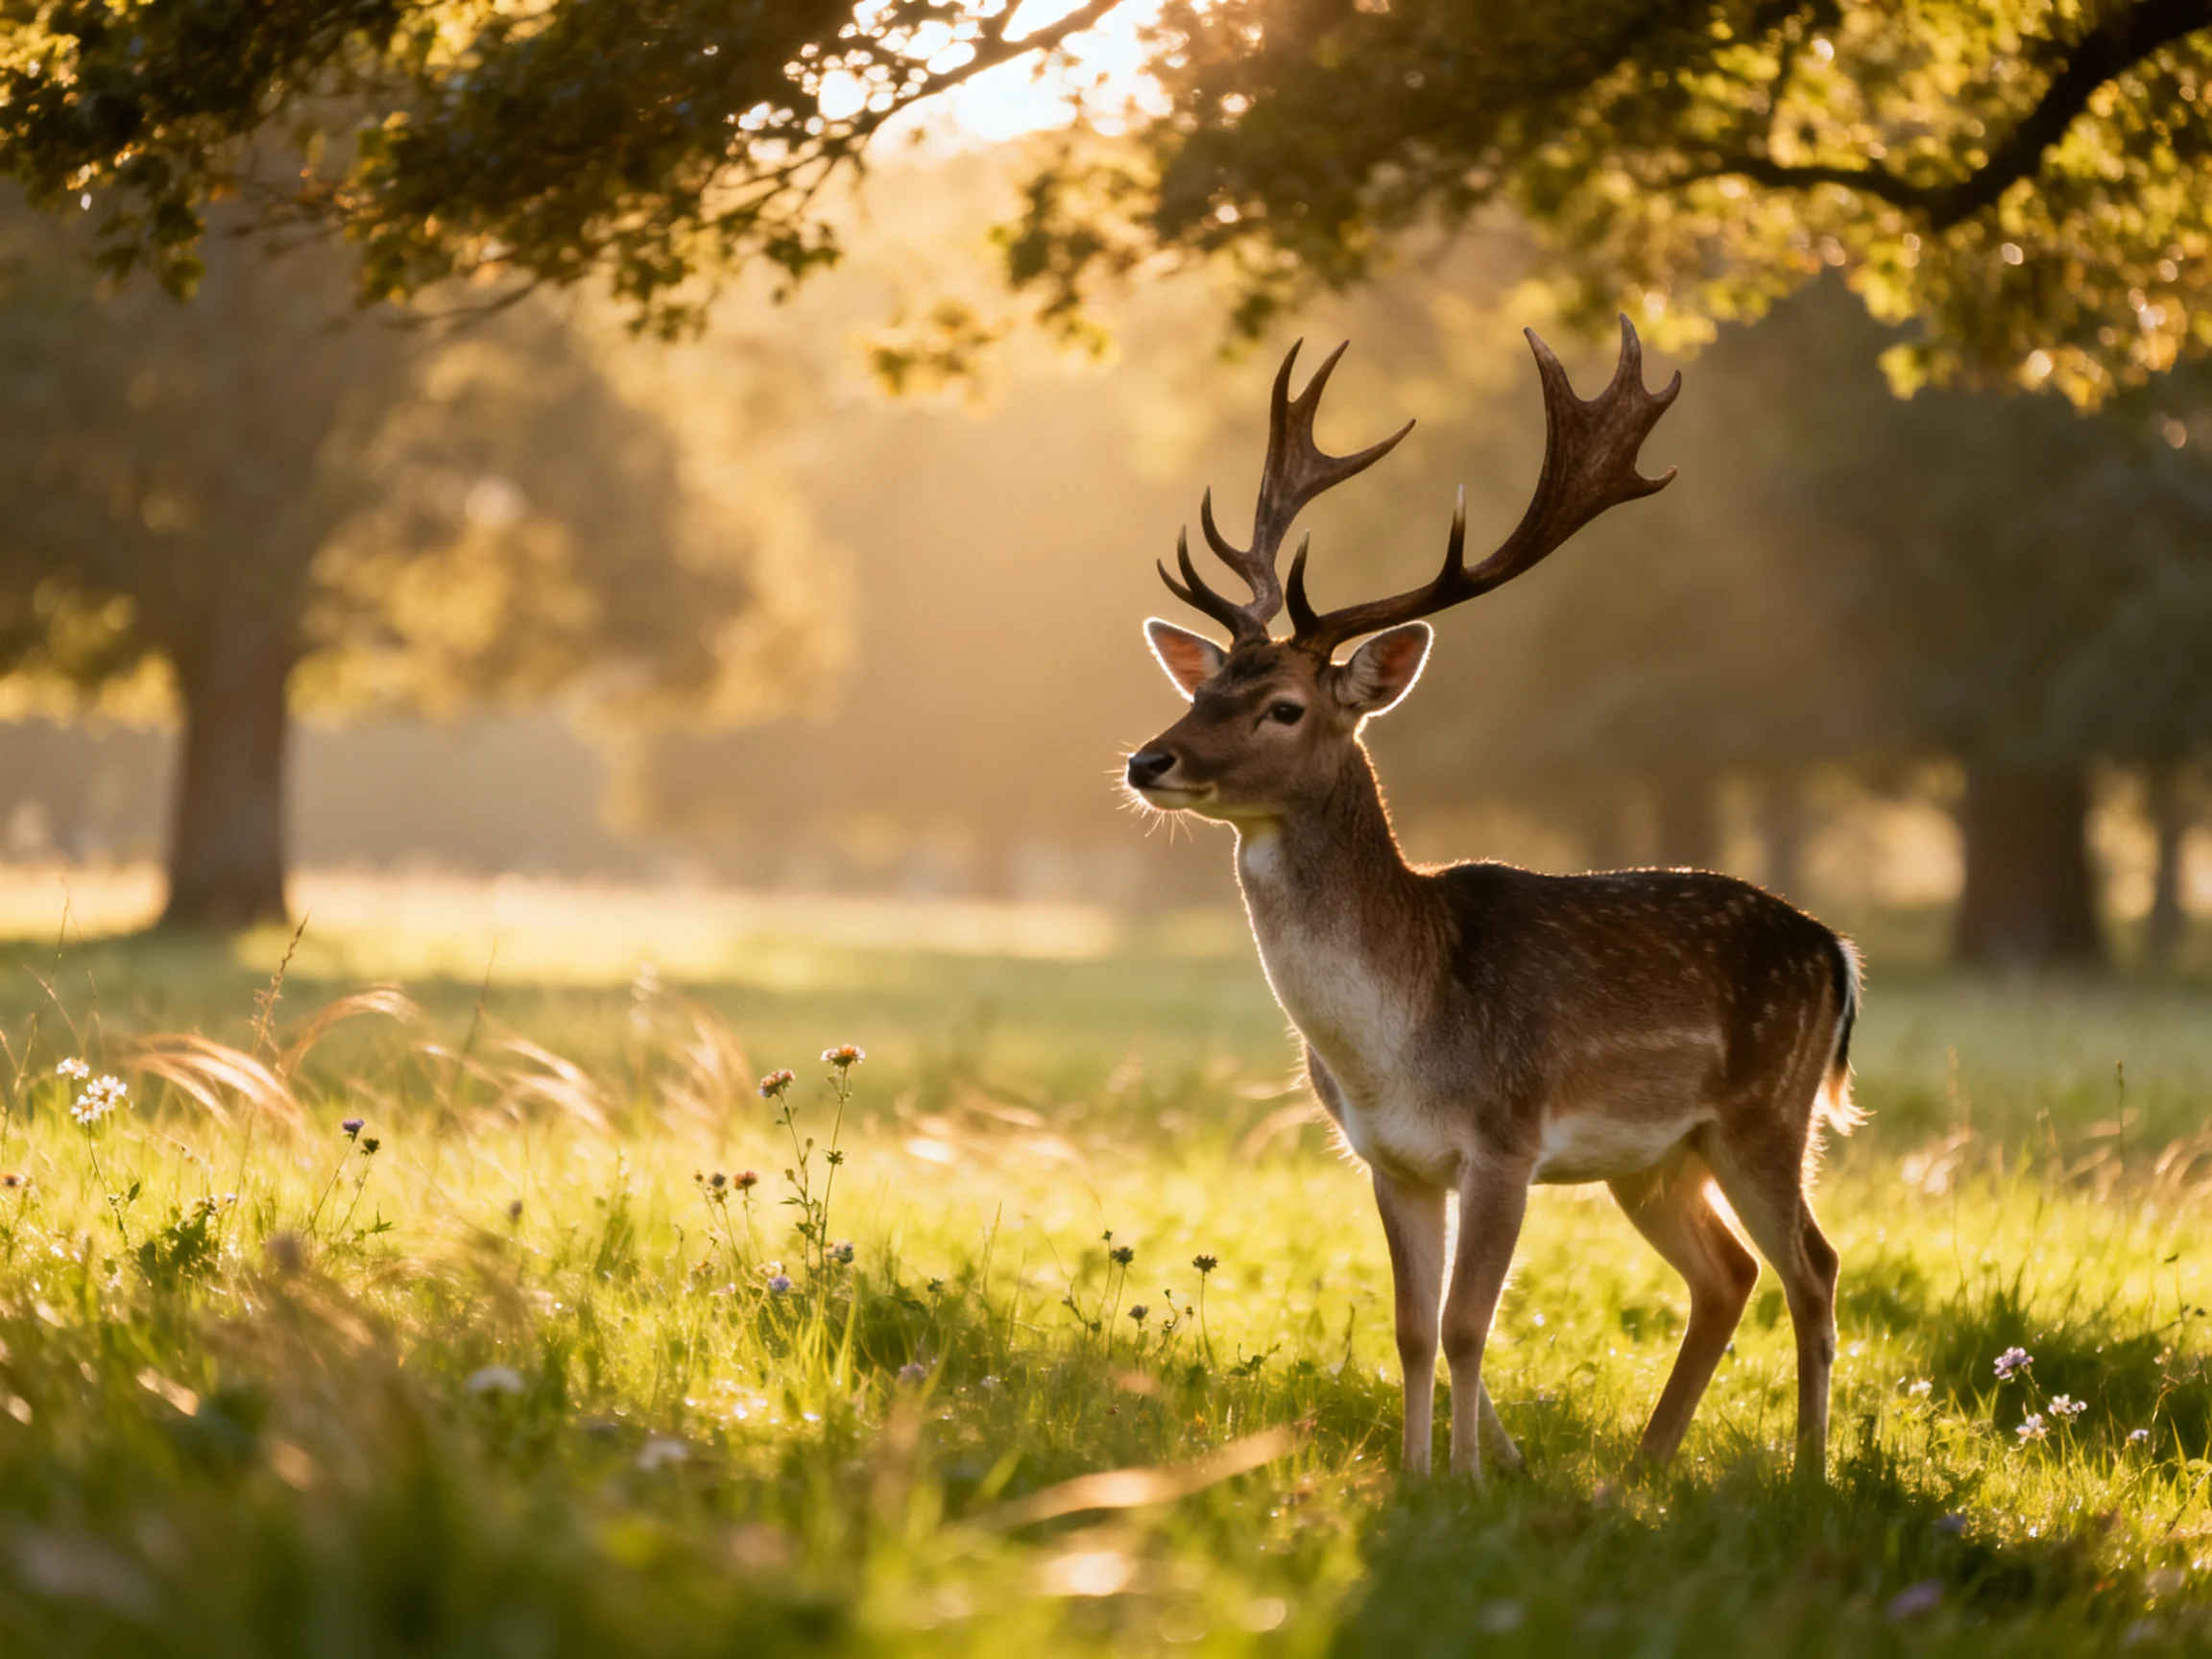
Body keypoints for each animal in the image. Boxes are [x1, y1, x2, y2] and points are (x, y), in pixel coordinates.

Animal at [1122, 319, 1861, 1483]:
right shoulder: (1387, 1158)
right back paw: (1640, 1470)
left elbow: (1472, 1324)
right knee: (1727, 1275)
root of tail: (1836, 951)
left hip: (1767, 1113)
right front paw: (1422, 1474)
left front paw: (1468, 1481)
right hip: (1660, 1156)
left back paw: (1806, 1475)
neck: (1395, 1040)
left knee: (1815, 1268)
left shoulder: (1506, 1137)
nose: (1149, 760)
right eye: (1202, 689)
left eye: (1283, 706)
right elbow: (1412, 1328)